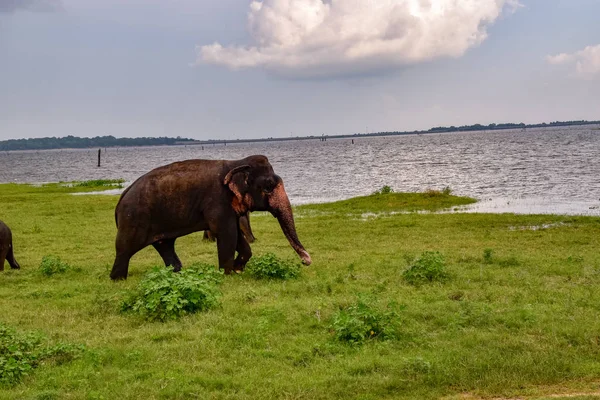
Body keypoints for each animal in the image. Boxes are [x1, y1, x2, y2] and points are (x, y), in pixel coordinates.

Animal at [109, 155, 312, 280]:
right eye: (268, 187)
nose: (306, 261)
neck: (235, 163)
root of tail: (122, 197)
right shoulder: (217, 201)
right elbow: (227, 234)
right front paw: (227, 274)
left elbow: (236, 235)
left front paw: (238, 269)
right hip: (133, 219)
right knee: (124, 250)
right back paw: (117, 279)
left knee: (165, 245)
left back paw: (177, 273)